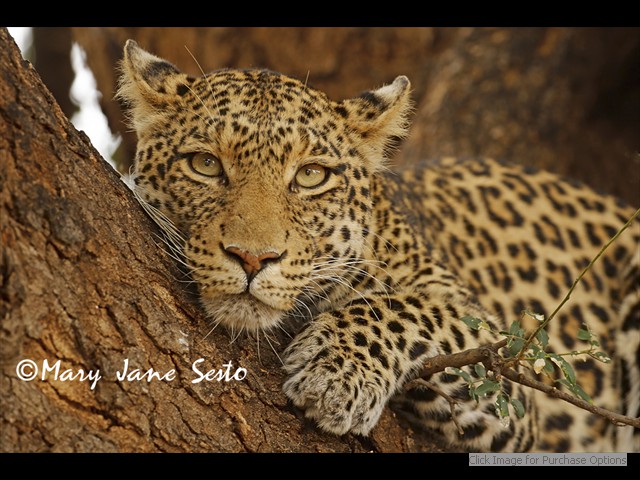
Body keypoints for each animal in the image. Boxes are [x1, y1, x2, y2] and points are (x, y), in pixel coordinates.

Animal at [117, 39, 639, 452]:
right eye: (204, 164)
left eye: (311, 175)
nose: (253, 258)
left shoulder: (511, 376)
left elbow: (411, 309)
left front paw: (338, 371)